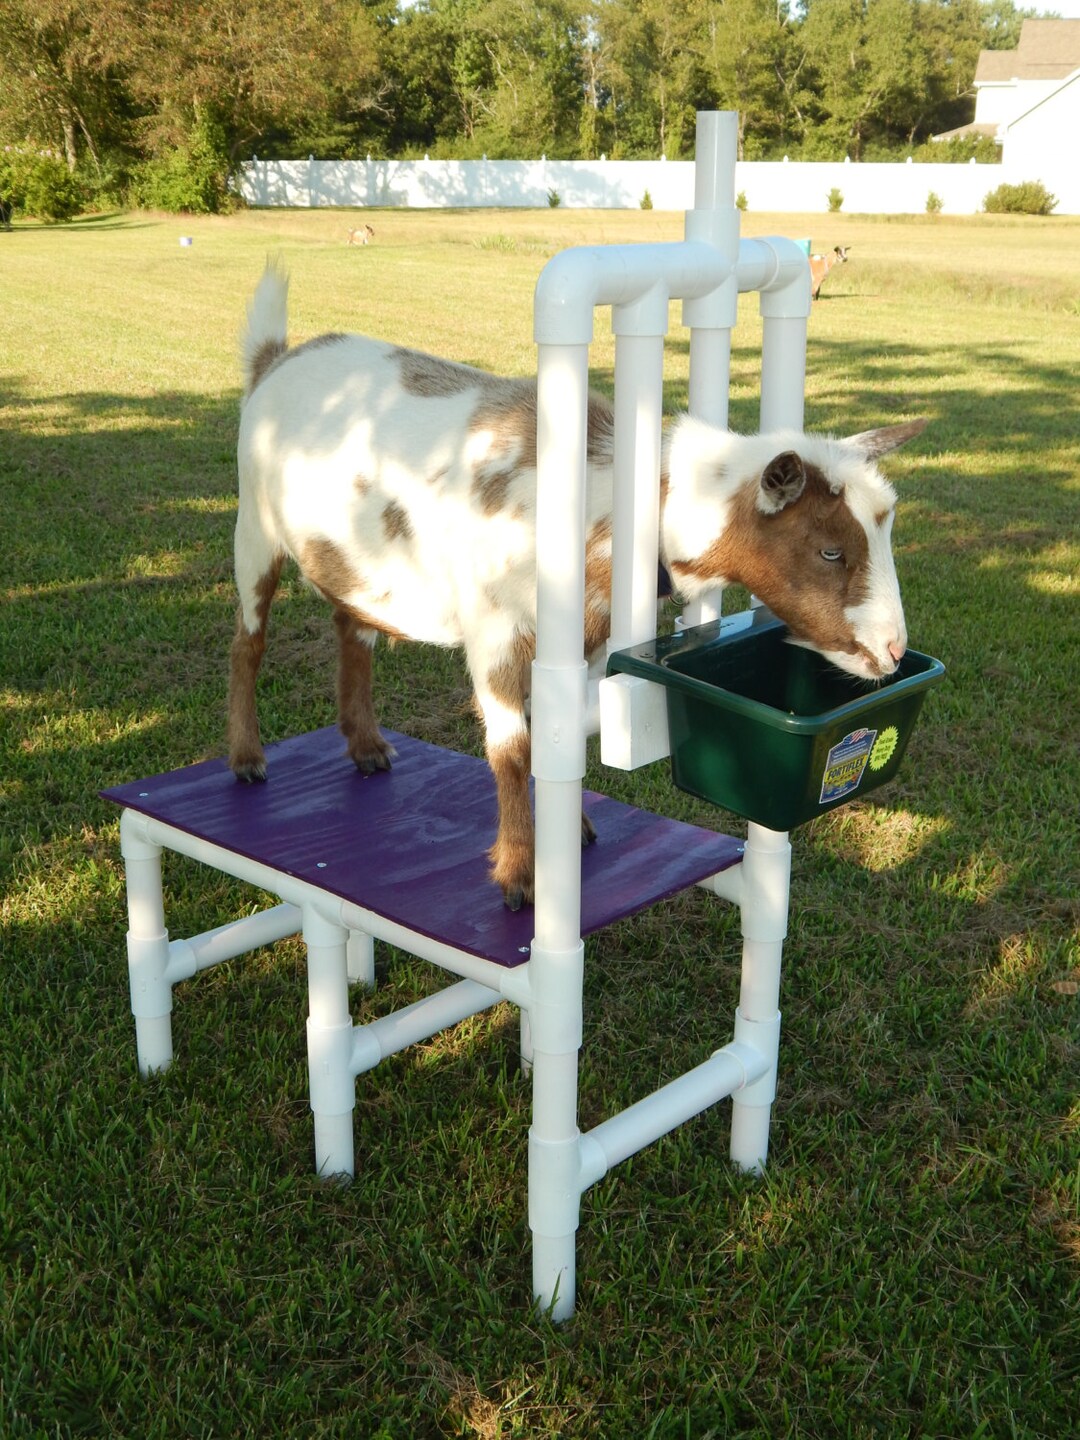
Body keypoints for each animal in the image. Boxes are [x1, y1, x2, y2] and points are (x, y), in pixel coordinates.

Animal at [229, 261, 925, 909]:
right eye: (830, 549)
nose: (893, 650)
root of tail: (275, 360)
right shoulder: (494, 630)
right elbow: (511, 748)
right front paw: (520, 876)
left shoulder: (587, 643)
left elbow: (557, 740)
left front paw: (573, 831)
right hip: (254, 529)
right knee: (248, 642)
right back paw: (247, 759)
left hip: (357, 563)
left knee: (351, 623)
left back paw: (368, 746)